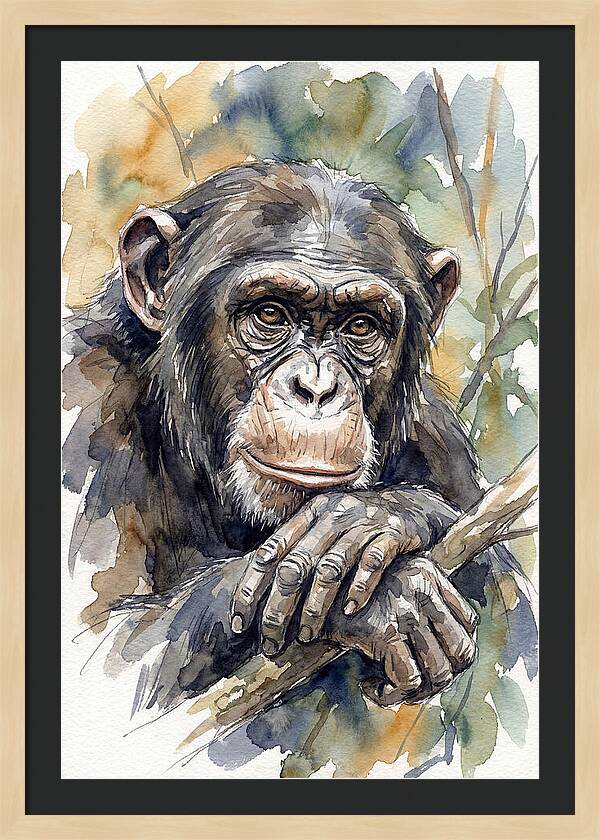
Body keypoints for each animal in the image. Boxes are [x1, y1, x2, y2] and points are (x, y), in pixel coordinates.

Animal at [63, 160, 533, 714]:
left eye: (361, 326)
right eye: (270, 314)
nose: (316, 387)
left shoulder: (439, 439)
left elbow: (515, 613)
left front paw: (374, 518)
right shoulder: (86, 405)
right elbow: (107, 651)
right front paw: (394, 597)